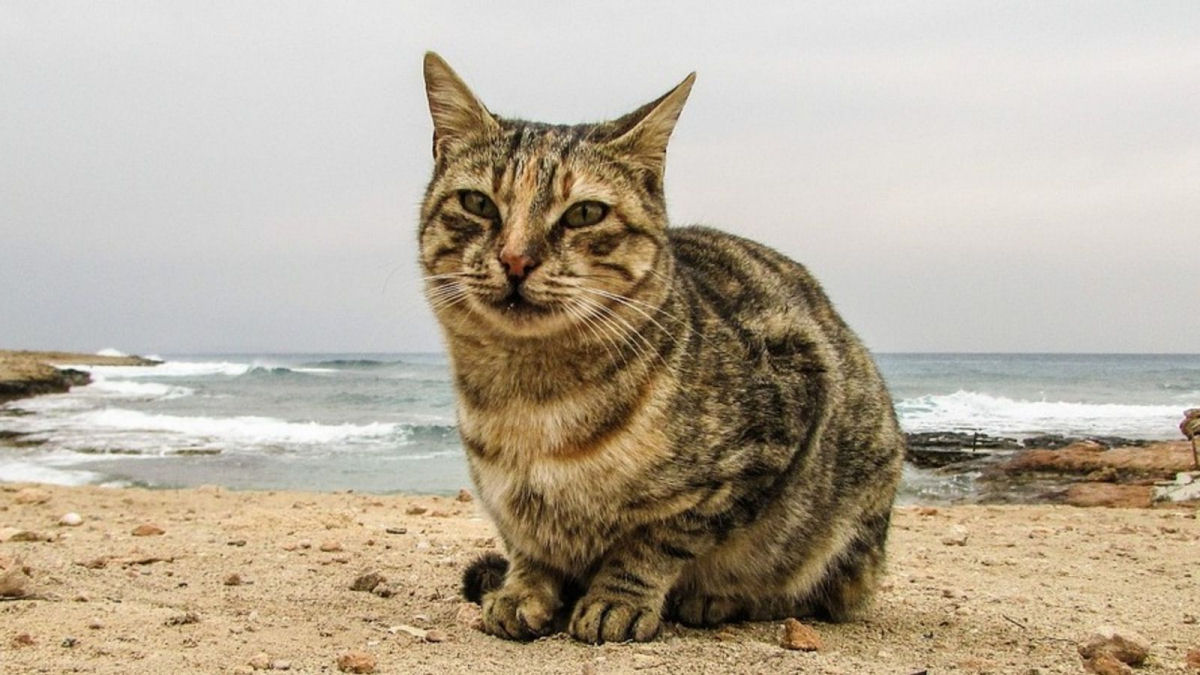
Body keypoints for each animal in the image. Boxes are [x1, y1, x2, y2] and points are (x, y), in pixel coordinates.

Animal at [417, 52, 902, 638]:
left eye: (584, 213)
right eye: (478, 203)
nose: (515, 259)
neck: (528, 400)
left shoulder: (778, 424)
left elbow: (655, 540)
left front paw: (618, 598)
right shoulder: (504, 501)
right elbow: (526, 544)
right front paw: (523, 590)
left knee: (807, 592)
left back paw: (719, 599)